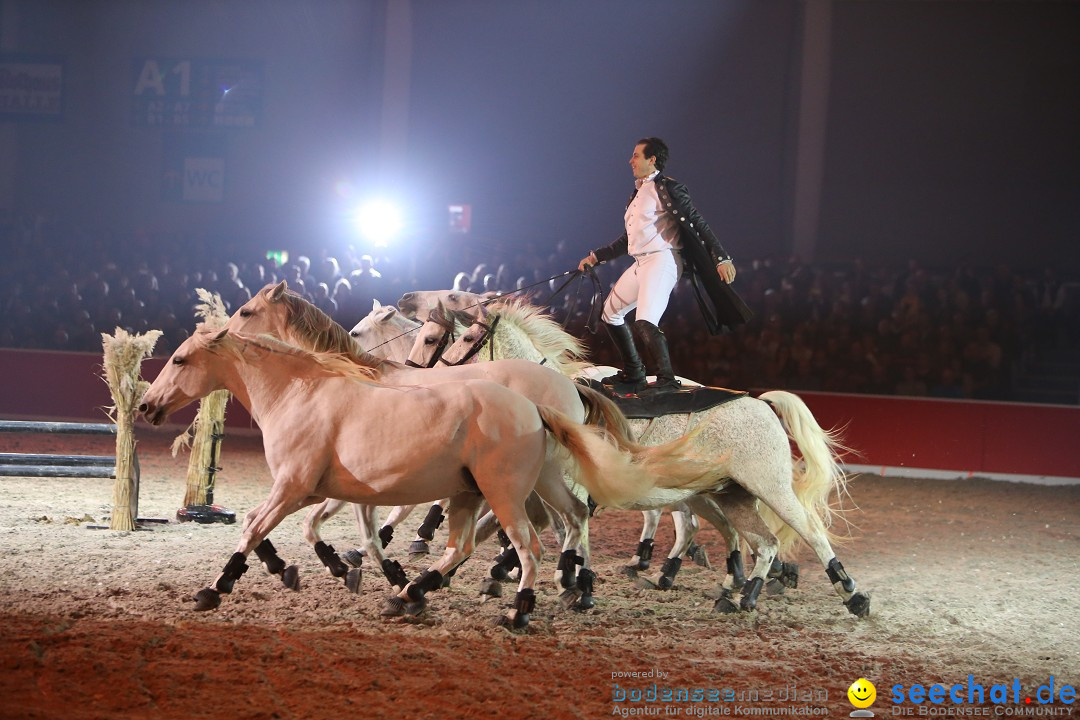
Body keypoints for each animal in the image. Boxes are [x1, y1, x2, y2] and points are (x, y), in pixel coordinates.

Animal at [141, 330, 734, 626]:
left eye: (180, 358)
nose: (146, 406)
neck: (301, 394)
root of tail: (537, 405)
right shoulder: (337, 493)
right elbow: (351, 540)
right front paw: (355, 572)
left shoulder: (292, 487)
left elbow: (252, 529)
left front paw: (213, 591)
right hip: (497, 490)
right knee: (534, 529)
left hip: (503, 494)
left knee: (530, 544)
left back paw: (519, 608)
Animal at [406, 295, 868, 617]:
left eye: (454, 339)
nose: (425, 384)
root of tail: (760, 403)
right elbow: (495, 531)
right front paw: (426, 584)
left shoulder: (569, 493)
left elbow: (566, 534)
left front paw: (573, 585)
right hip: (730, 494)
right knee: (761, 542)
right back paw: (740, 593)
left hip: (769, 488)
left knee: (809, 532)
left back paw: (851, 593)